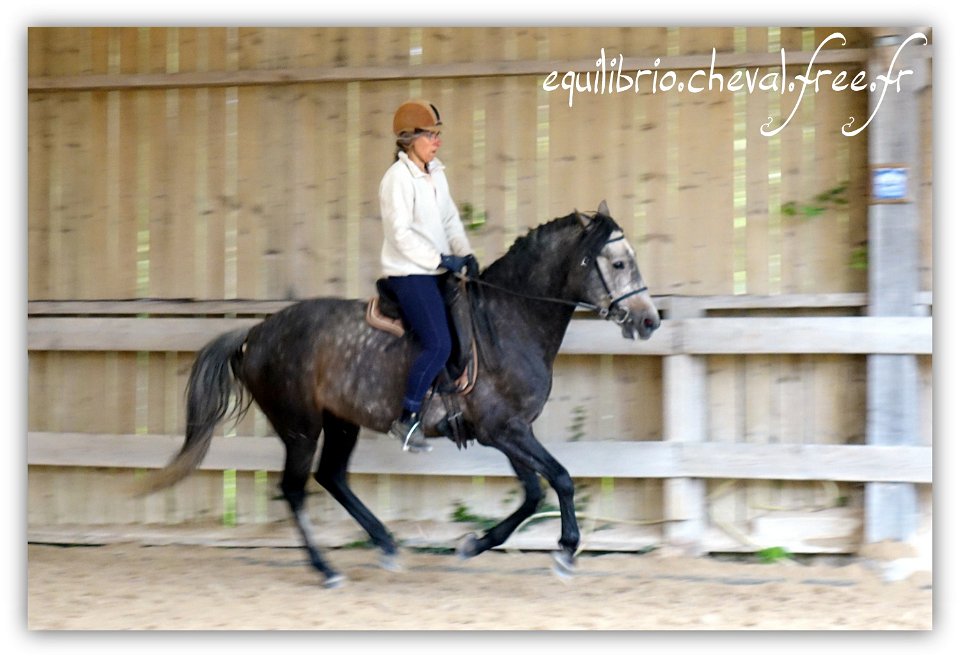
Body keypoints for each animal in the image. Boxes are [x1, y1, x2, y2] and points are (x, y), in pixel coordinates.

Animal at [142, 202, 664, 588]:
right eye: (619, 262)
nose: (648, 320)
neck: (507, 320)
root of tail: (256, 334)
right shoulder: (505, 430)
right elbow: (561, 479)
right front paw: (566, 552)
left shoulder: (509, 431)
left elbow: (535, 492)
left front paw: (474, 543)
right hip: (300, 427)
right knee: (295, 489)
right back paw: (327, 570)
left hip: (340, 422)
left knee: (332, 477)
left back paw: (388, 545)